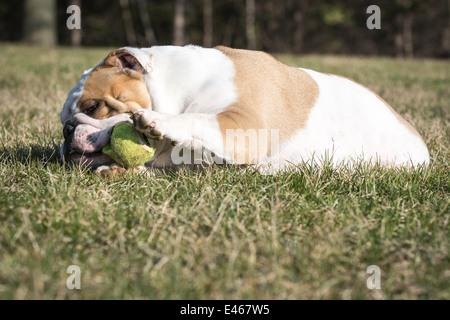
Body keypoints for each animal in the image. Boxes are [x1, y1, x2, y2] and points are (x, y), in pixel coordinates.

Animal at [59, 45, 428, 172]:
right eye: (62, 121)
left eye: (94, 106)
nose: (67, 131)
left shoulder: (242, 125)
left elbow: (196, 118)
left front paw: (155, 119)